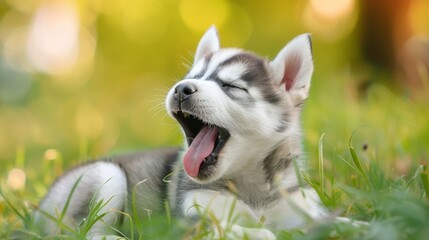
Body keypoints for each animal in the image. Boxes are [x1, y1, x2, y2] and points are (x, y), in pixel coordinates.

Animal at [35, 26, 326, 240]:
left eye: (231, 86)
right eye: (195, 75)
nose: (182, 88)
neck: (250, 191)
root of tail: (39, 206)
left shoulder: (302, 206)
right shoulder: (192, 215)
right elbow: (225, 228)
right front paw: (257, 233)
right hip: (104, 174)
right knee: (83, 232)